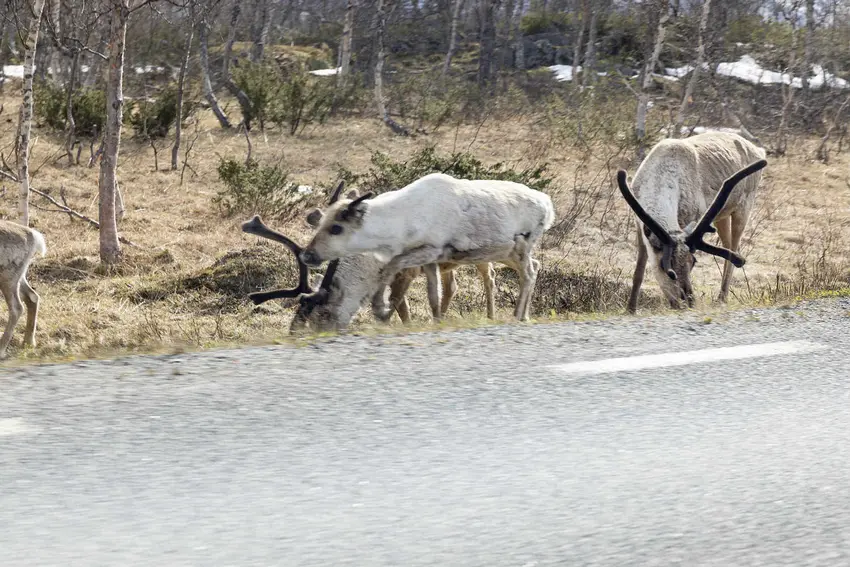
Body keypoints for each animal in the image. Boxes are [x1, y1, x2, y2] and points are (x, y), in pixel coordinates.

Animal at [0, 221, 46, 358]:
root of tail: (34, 236)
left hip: (7, 277)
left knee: (17, 308)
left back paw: (1, 349)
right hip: (19, 276)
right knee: (33, 297)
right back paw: (28, 342)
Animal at [299, 172, 555, 321]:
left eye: (336, 228)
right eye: (321, 222)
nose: (307, 255)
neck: (399, 222)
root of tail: (548, 203)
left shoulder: (430, 250)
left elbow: (392, 269)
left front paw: (380, 307)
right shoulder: (431, 259)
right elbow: (433, 295)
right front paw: (435, 321)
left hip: (522, 246)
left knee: (528, 274)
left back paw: (517, 316)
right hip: (505, 252)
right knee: (533, 267)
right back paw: (523, 316)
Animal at [616, 131, 767, 312]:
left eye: (693, 261)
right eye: (664, 265)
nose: (687, 301)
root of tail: (759, 150)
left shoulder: (690, 218)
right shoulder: (640, 226)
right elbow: (638, 270)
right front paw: (630, 308)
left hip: (744, 206)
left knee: (734, 248)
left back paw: (721, 297)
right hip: (722, 216)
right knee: (729, 247)